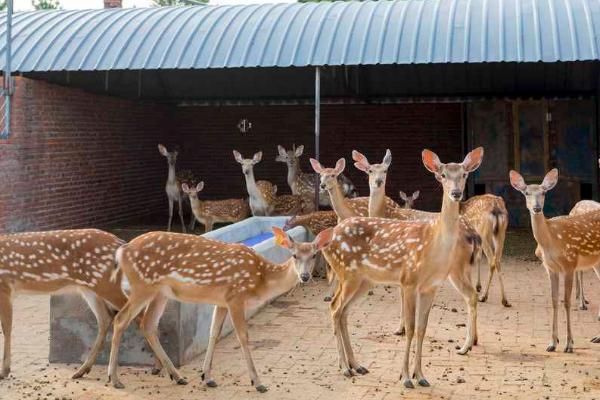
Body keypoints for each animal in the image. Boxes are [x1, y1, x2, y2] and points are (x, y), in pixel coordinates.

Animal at [0, 230, 135, 380]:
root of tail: (120, 243)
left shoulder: (4, 287)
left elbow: (6, 329)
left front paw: (4, 371)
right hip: (90, 287)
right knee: (106, 318)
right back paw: (82, 370)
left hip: (106, 283)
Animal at [105, 228, 336, 390]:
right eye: (294, 255)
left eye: (314, 255)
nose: (305, 277)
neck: (260, 279)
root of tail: (122, 251)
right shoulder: (236, 297)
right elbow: (243, 337)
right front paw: (258, 382)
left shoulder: (222, 301)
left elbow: (213, 333)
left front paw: (207, 377)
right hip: (143, 286)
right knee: (121, 319)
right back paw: (114, 379)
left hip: (160, 292)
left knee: (148, 324)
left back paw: (178, 377)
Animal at [322, 148, 486, 388]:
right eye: (443, 175)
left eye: (464, 174)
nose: (456, 193)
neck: (433, 245)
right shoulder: (409, 280)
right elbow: (410, 328)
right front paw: (406, 377)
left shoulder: (431, 286)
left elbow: (422, 329)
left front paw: (421, 376)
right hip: (348, 273)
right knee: (335, 308)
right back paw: (344, 367)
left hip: (364, 280)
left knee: (343, 311)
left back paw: (357, 366)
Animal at [508, 169, 600, 350]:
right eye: (526, 193)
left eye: (544, 192)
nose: (537, 208)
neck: (551, 240)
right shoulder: (550, 268)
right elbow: (554, 300)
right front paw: (552, 343)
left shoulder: (570, 263)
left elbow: (567, 302)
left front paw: (569, 344)